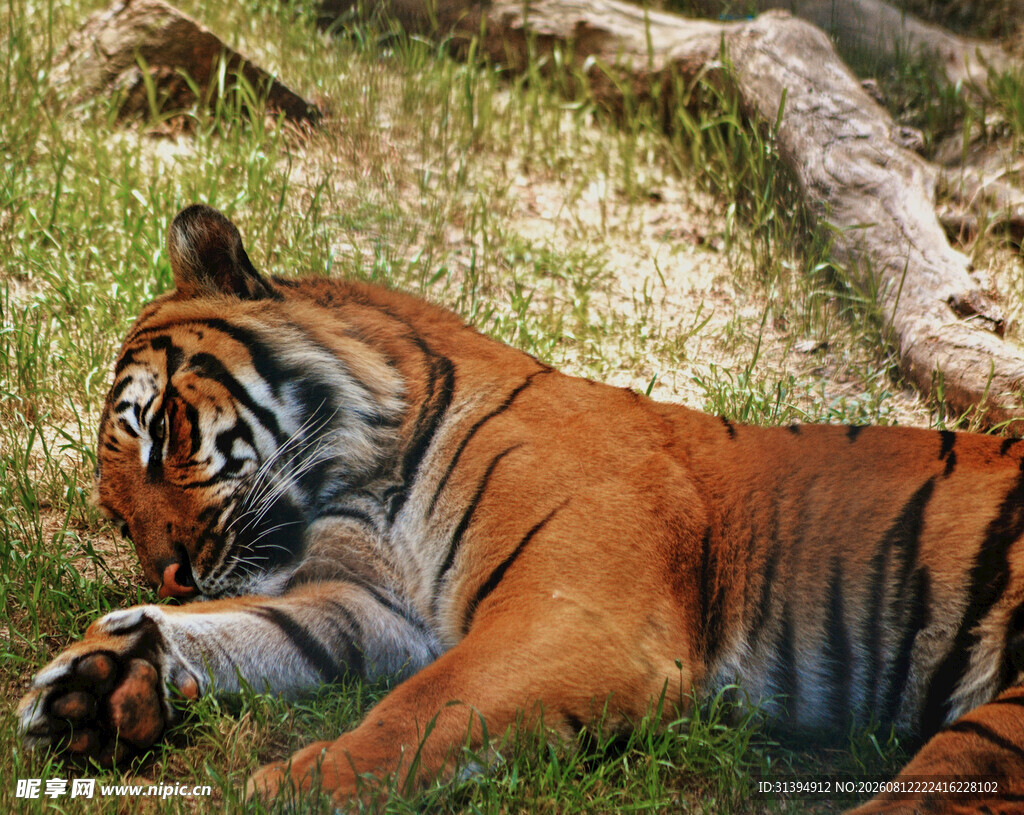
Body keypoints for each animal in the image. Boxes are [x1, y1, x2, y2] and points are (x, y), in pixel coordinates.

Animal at [17, 204, 1024, 813]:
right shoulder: (373, 610)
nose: (172, 573)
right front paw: (99, 679)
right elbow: (257, 633)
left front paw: (295, 783)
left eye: (162, 431)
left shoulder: (575, 612)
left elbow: (422, 709)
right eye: (116, 515)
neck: (359, 487)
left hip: (991, 729)